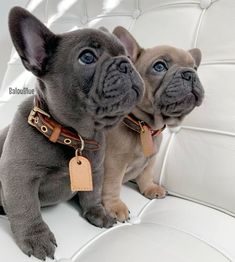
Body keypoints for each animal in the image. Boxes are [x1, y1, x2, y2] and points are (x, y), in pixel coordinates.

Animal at [0, 7, 143, 260]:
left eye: (126, 54)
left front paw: (98, 212)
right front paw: (36, 237)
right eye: (87, 57)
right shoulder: (18, 175)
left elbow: (92, 194)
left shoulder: (96, 170)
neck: (75, 136)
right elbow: (25, 206)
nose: (125, 63)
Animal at [102, 27, 204, 222]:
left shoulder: (152, 159)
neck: (145, 127)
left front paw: (149, 188)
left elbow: (147, 174)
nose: (190, 74)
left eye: (195, 68)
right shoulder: (113, 164)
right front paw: (115, 206)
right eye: (159, 66)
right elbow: (112, 185)